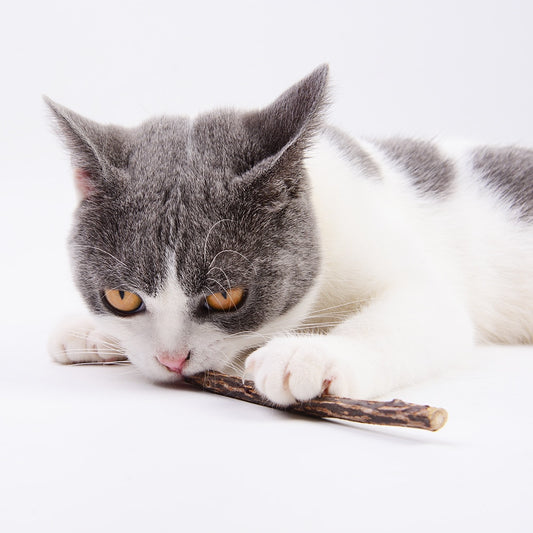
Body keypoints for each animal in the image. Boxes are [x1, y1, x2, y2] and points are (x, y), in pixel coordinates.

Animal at [45, 64, 532, 404]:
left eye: (226, 296)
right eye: (122, 298)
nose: (172, 359)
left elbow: (422, 311)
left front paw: (309, 355)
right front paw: (87, 331)